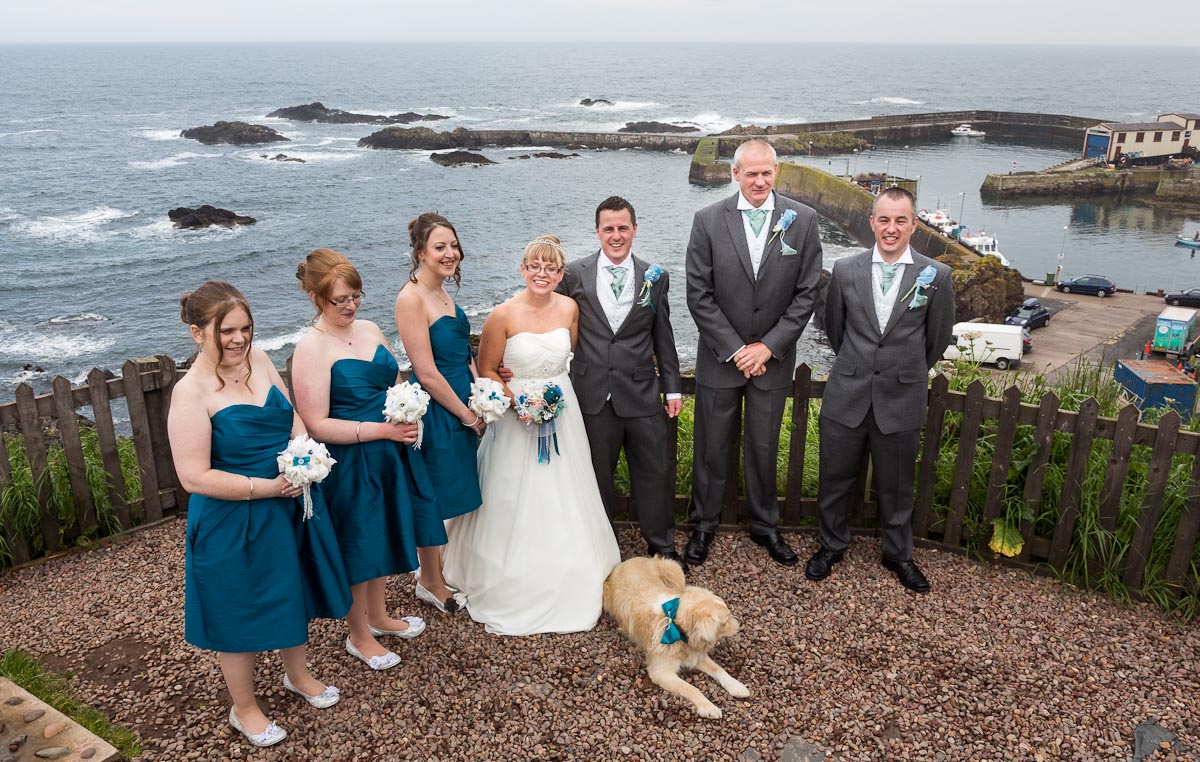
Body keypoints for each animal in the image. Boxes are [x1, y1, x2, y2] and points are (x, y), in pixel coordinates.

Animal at [602, 556, 748, 718]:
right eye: (725, 621)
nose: (741, 623)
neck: (676, 625)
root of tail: (626, 561)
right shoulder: (661, 672)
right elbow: (690, 688)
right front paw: (709, 707)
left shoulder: (695, 654)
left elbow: (719, 669)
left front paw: (737, 686)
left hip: (674, 570)